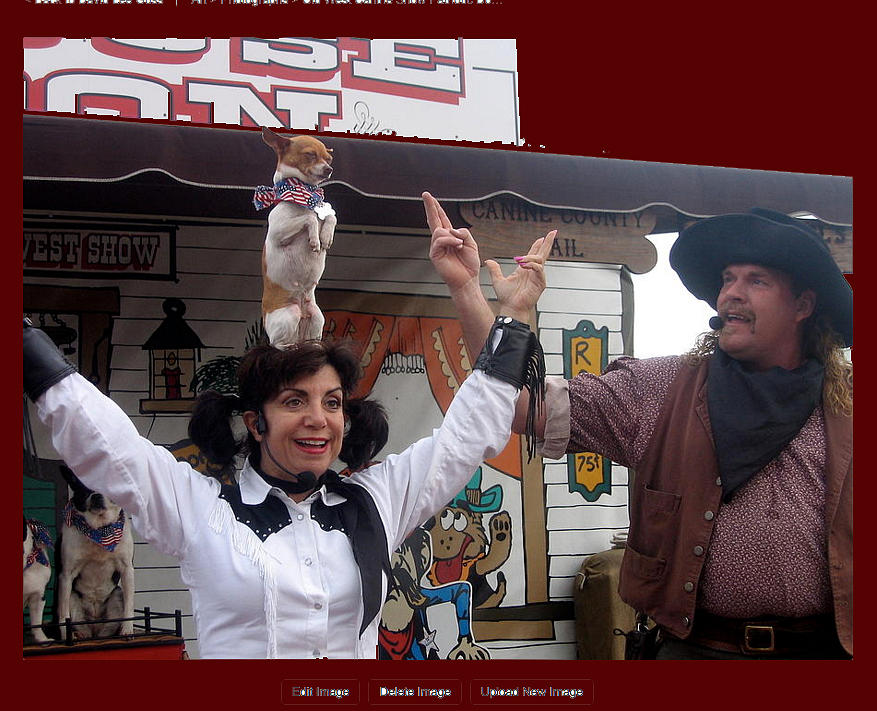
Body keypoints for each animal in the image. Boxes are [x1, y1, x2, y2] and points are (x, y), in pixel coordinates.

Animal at [57, 468, 135, 640]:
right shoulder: (66, 575)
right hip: (72, 596)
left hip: (116, 595)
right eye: (84, 490)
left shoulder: (127, 570)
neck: (99, 530)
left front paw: (128, 629)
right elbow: (63, 615)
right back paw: (78, 635)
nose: (96, 495)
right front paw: (65, 636)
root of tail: (95, 629)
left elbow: (129, 605)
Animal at [255, 129, 338, 352]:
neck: (305, 197)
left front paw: (325, 237)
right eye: (310, 154)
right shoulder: (279, 233)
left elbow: (329, 217)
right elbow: (309, 219)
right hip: (288, 314)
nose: (329, 169)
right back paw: (288, 346)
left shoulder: (325, 213)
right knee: (277, 344)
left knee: (311, 340)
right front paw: (315, 240)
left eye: (328, 159)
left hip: (317, 318)